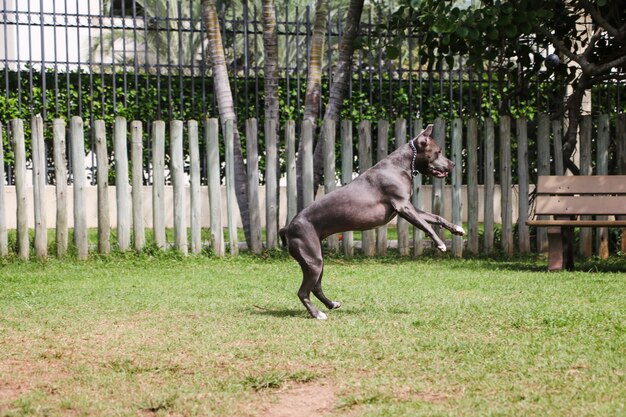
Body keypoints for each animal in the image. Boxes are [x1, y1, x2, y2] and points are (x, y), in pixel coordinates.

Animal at [278, 123, 464, 318]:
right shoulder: (403, 207)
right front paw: (440, 243)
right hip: (313, 260)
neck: (400, 165)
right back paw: (317, 314)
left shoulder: (411, 207)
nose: (453, 164)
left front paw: (457, 229)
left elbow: (435, 217)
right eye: (438, 151)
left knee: (316, 287)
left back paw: (331, 304)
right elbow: (426, 225)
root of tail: (288, 227)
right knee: (303, 292)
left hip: (317, 259)